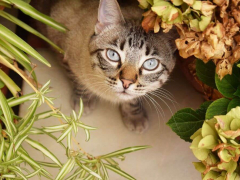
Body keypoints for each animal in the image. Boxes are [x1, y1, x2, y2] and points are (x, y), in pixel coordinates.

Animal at [32, 0, 178, 133]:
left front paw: (135, 117)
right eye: (113, 55)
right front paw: (83, 102)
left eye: (150, 64)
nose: (126, 82)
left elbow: (133, 99)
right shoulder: (60, 46)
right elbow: (77, 79)